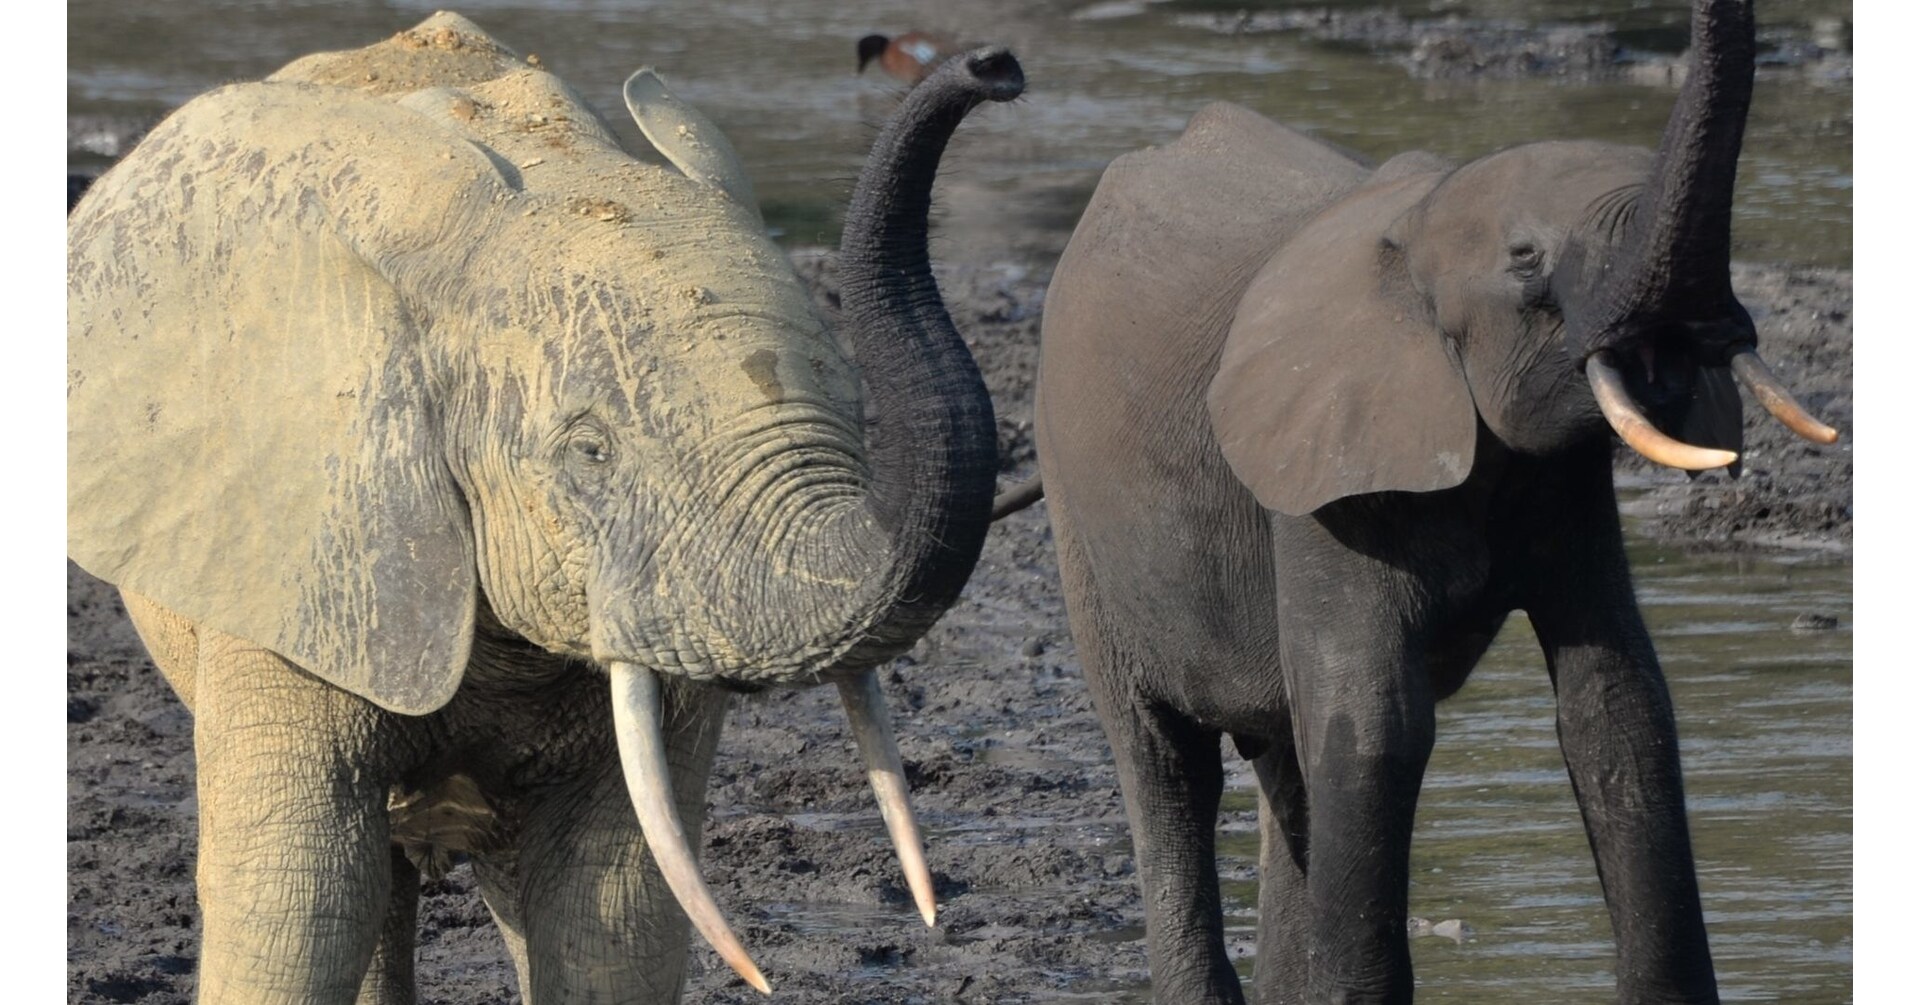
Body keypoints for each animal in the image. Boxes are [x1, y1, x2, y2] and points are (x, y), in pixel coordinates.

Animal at [66, 12, 1025, 1003]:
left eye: (852, 405)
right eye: (590, 453)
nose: (994, 66)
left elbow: (612, 911)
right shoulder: (303, 538)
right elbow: (300, 897)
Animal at [1030, 1, 1835, 1002]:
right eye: (1527, 261)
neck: (1413, 228)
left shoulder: (1563, 482)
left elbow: (1618, 708)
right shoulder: (1321, 475)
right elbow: (1377, 727)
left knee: (1288, 757)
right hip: (1075, 515)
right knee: (1167, 764)